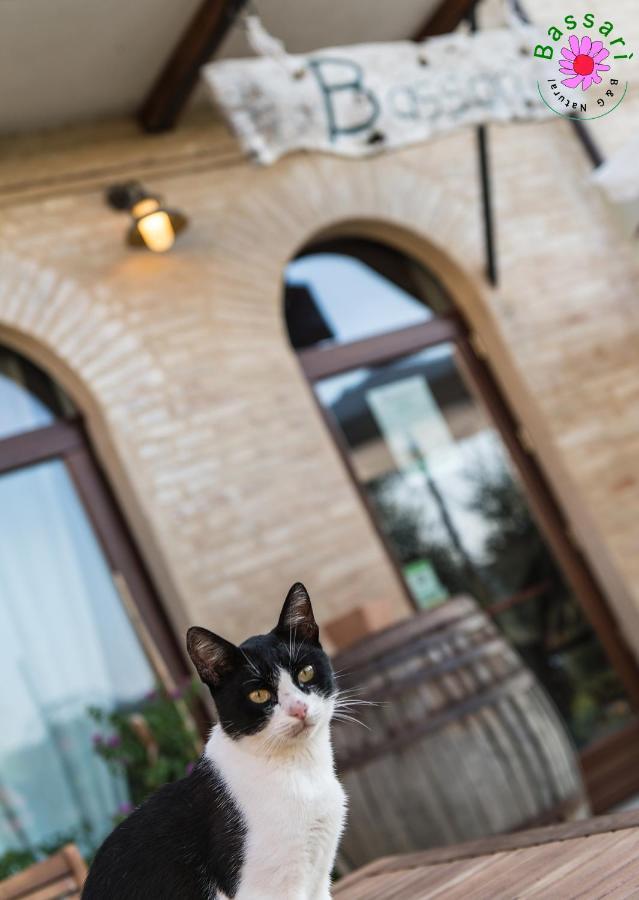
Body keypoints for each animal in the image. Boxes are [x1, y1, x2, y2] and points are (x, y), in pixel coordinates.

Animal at [84, 584, 350, 900]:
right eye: (258, 695)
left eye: (306, 672)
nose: (299, 709)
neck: (300, 770)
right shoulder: (265, 888)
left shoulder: (319, 879)